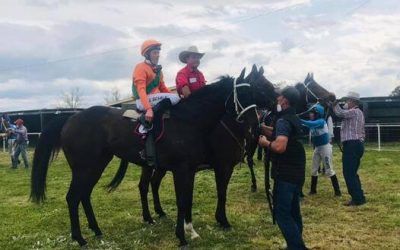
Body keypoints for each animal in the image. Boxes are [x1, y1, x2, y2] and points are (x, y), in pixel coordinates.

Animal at [30, 66, 276, 246]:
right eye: (252, 91)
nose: (257, 121)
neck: (189, 121)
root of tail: (70, 119)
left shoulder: (190, 170)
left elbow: (188, 199)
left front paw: (191, 230)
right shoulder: (194, 169)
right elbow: (189, 199)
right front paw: (184, 236)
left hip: (99, 166)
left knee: (86, 195)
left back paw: (99, 229)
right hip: (86, 169)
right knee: (73, 197)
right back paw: (80, 238)